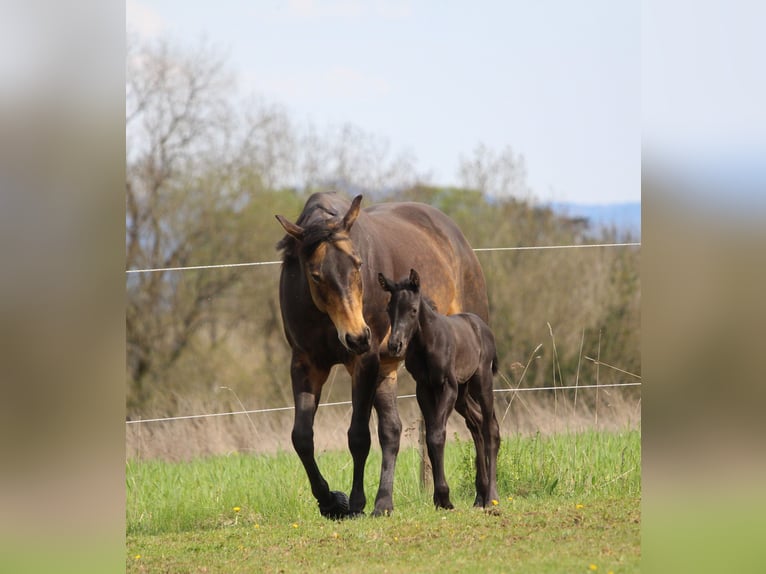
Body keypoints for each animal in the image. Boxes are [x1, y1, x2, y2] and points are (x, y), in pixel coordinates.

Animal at [377, 268, 500, 510]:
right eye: (388, 309)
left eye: (413, 310)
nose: (395, 345)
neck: (428, 342)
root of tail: (482, 327)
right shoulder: (424, 388)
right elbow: (430, 436)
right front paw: (438, 497)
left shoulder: (447, 386)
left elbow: (436, 434)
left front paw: (444, 497)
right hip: (463, 393)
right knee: (477, 423)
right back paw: (479, 496)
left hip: (481, 382)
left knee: (490, 428)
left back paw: (491, 496)